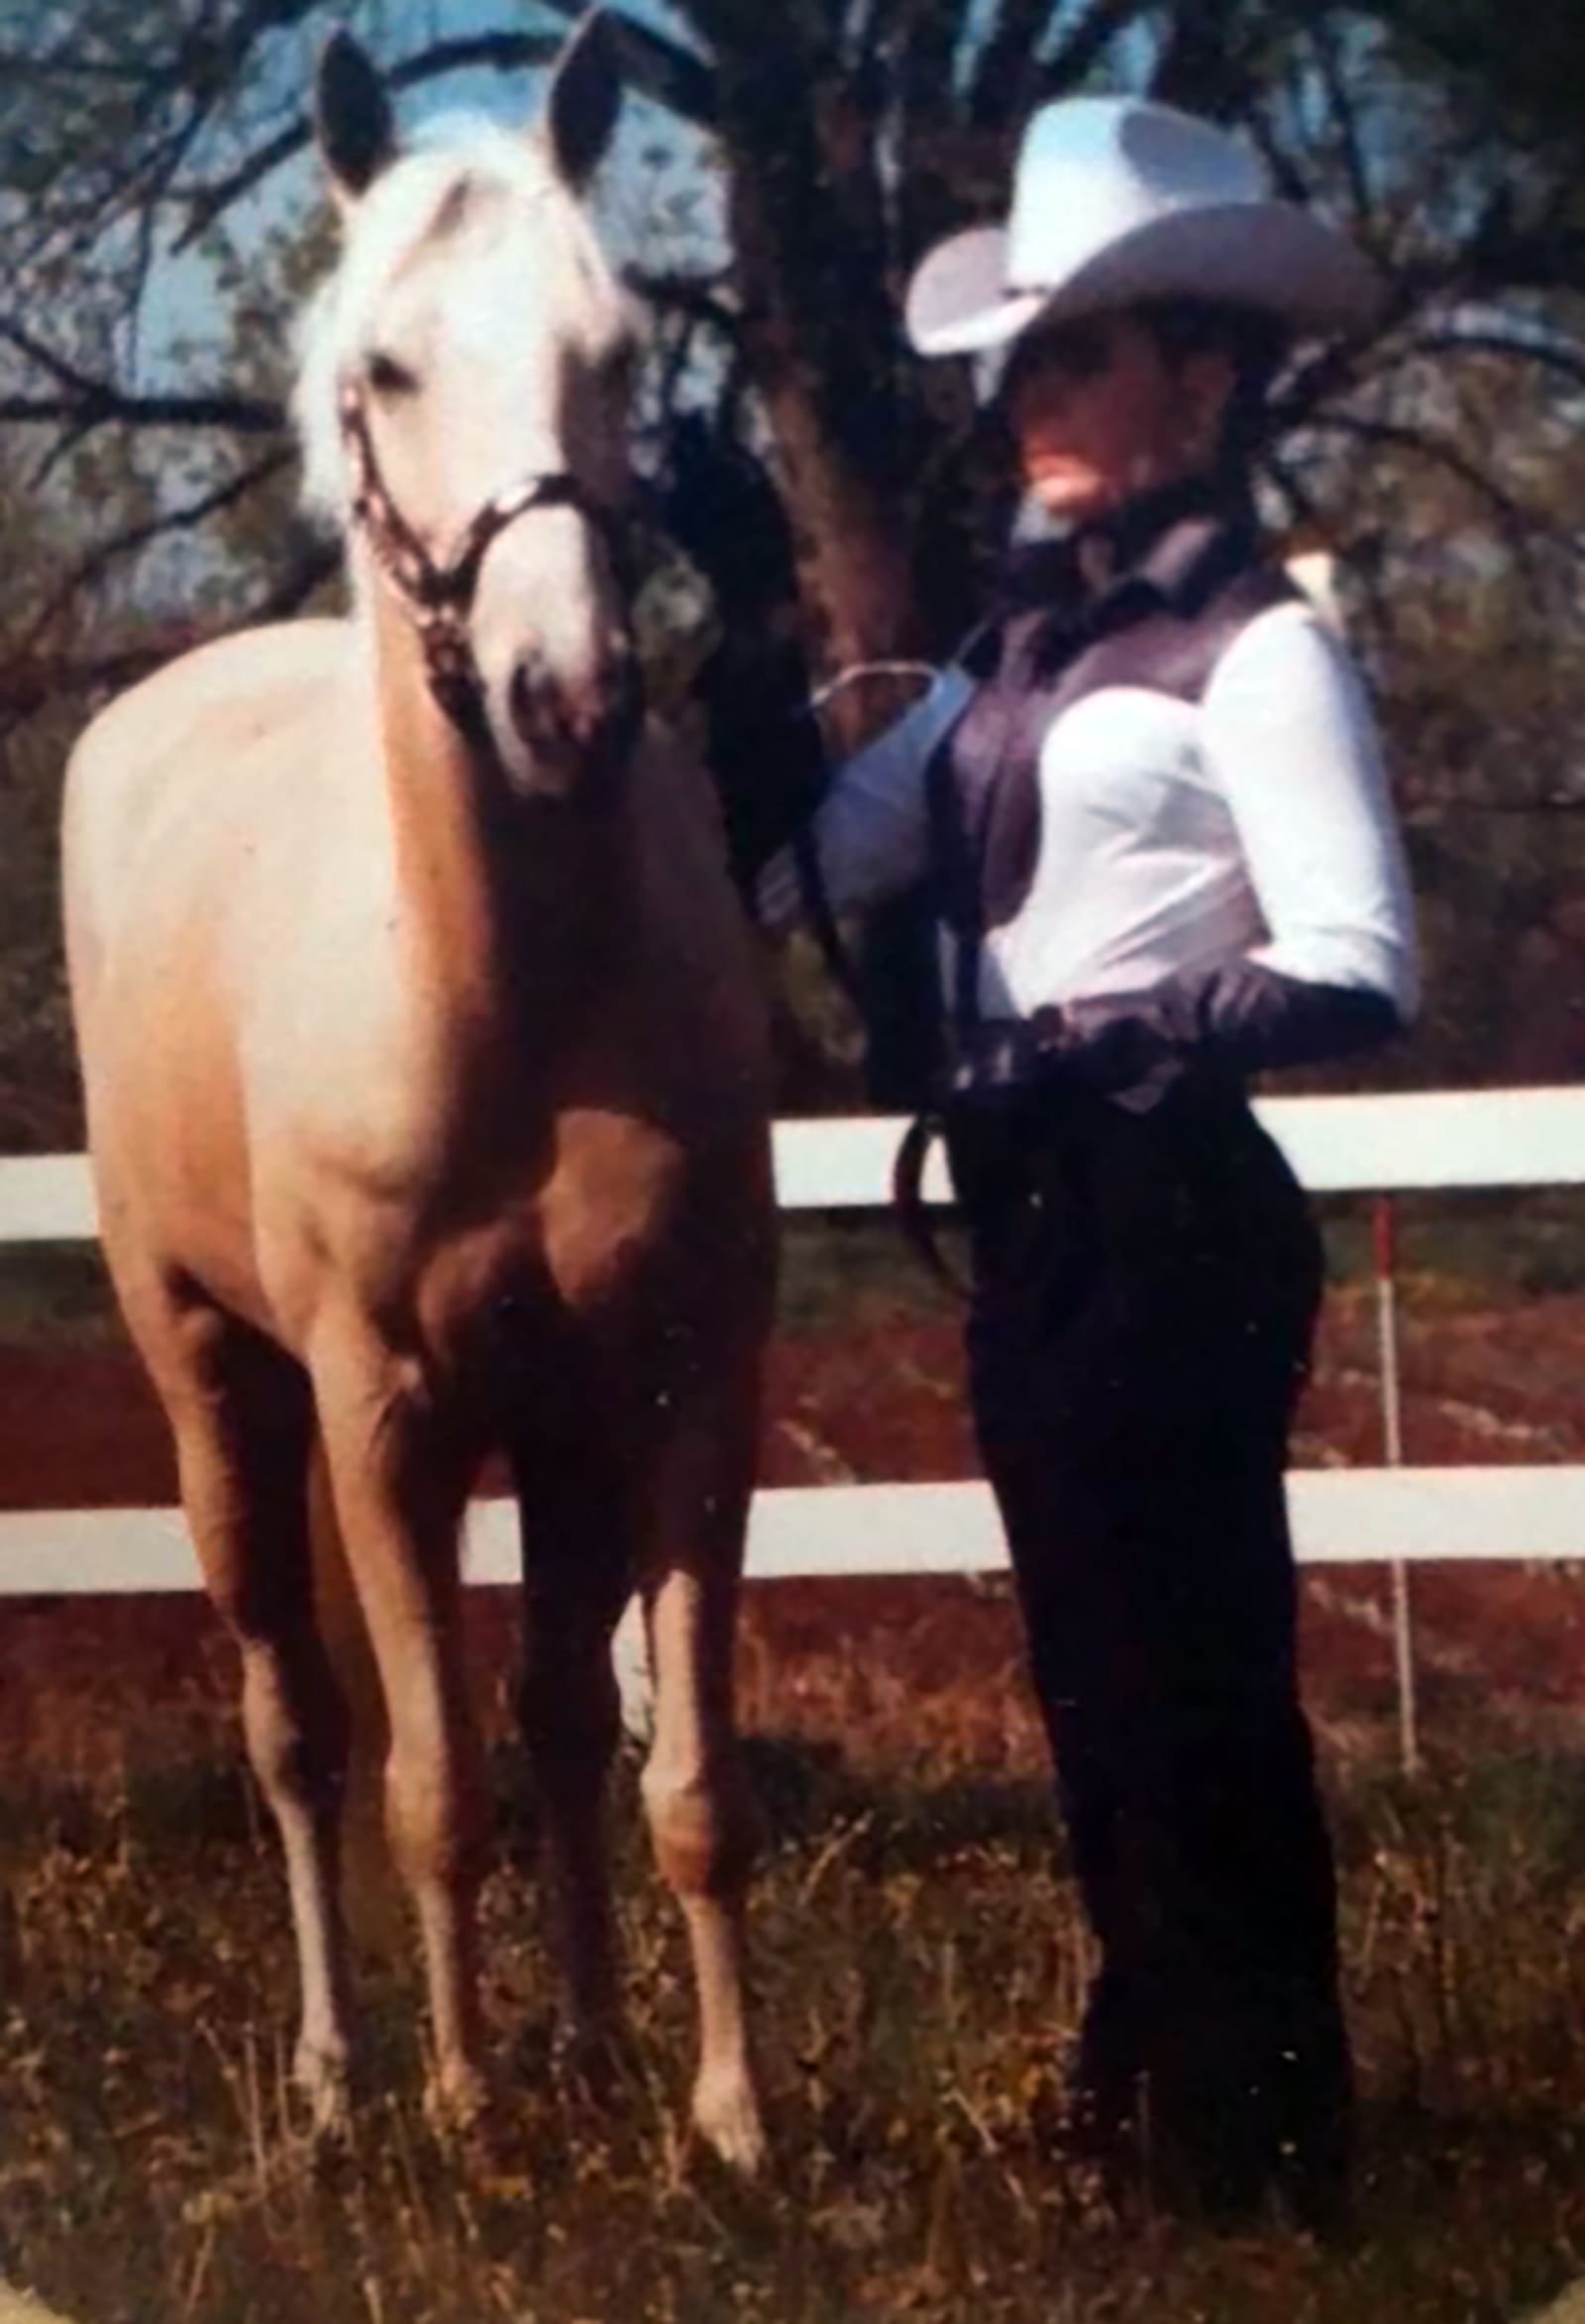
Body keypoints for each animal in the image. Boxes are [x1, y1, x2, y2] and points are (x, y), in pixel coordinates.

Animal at [59, 9, 771, 2166]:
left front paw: (721, 2117)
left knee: (554, 1719)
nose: (567, 700)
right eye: (383, 367)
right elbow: (426, 1785)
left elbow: (674, 1776)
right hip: (217, 1378)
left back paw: (590, 2048)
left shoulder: (673, 1387)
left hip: (531, 1429)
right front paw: (469, 2117)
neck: (503, 1012)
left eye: (613, 349)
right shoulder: (378, 1410)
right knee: (297, 1727)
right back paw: (342, 2072)